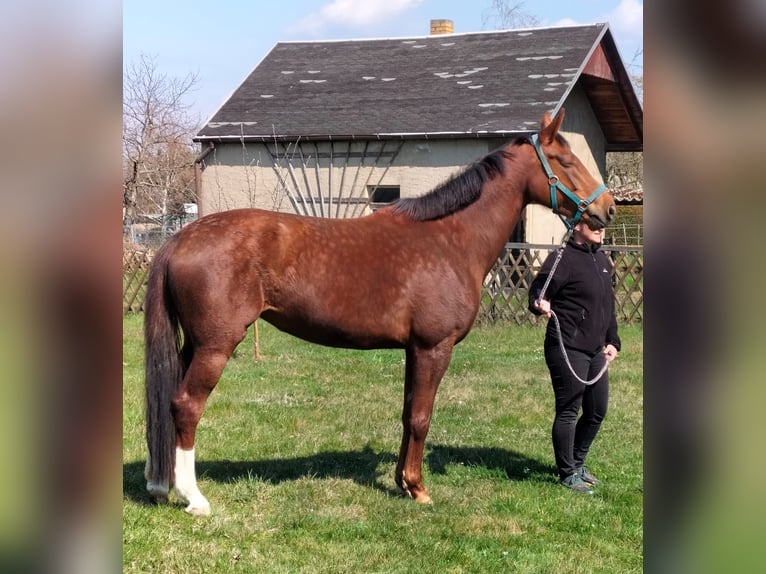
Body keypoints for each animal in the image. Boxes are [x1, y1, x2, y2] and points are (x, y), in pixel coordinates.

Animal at [144, 109, 616, 515]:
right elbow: (423, 417)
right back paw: (193, 498)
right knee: (186, 404)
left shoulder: (413, 350)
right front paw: (419, 488)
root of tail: (181, 237)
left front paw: (402, 483)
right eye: (565, 161)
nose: (607, 208)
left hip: (193, 344)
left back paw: (158, 483)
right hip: (216, 345)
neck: (449, 238)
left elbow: (408, 414)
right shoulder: (433, 348)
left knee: (166, 402)